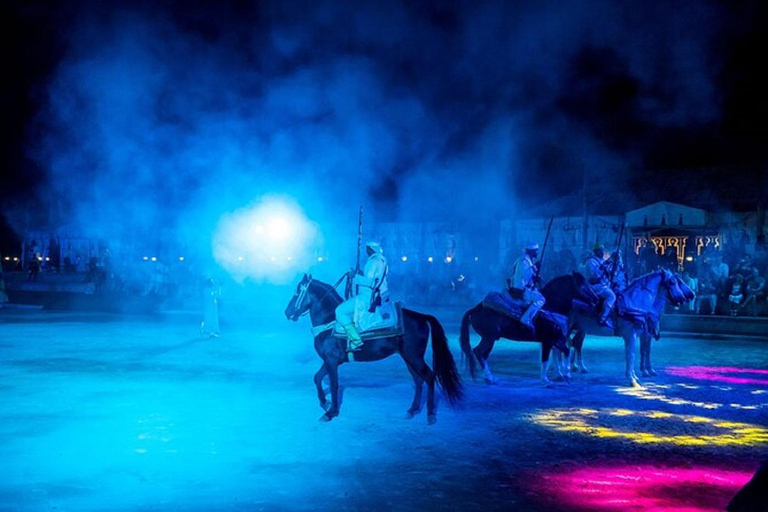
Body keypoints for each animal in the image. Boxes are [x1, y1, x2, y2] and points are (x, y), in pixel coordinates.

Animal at [284, 276, 460, 424]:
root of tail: (422, 316)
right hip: (408, 358)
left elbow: (334, 385)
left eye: (296, 292)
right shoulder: (330, 361)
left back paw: (430, 414)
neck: (329, 322)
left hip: (414, 357)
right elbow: (317, 377)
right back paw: (411, 410)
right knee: (418, 380)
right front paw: (324, 402)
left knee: (429, 377)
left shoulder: (332, 361)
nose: (287, 312)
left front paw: (331, 412)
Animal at [460, 274, 596, 386]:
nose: (596, 299)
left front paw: (562, 374)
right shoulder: (549, 341)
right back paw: (489, 378)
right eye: (583, 285)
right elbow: (550, 357)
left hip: (491, 339)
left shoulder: (554, 341)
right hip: (489, 338)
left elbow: (560, 353)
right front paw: (551, 379)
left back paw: (491, 378)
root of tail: (475, 309)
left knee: (483, 355)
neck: (551, 307)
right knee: (478, 352)